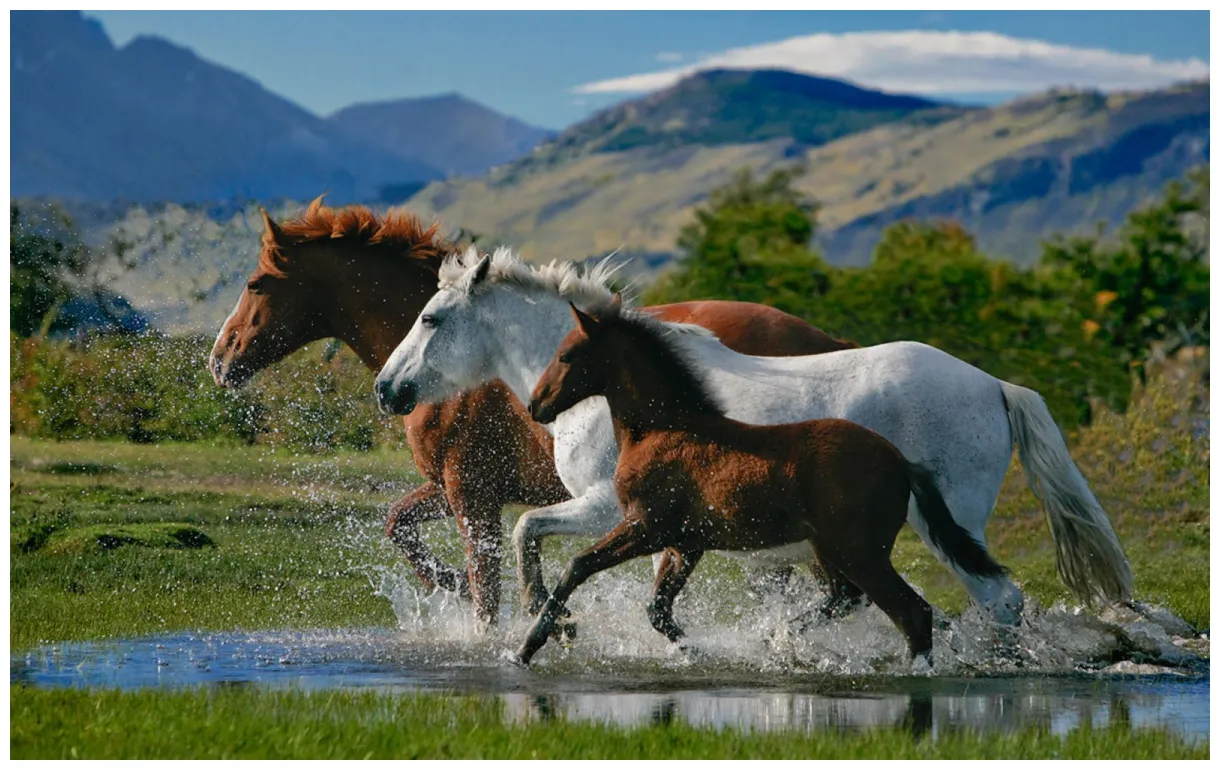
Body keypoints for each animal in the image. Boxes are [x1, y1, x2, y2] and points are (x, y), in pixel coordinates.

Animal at [208, 196, 858, 624]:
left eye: (256, 283)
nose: (219, 360)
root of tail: (828, 341)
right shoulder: (455, 489)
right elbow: (401, 526)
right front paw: (456, 586)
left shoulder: (471, 493)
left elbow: (486, 588)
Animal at [374, 247, 1132, 627]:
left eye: (432, 318)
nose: (388, 389)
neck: (619, 391)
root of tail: (994, 385)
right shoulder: (666, 526)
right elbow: (655, 592)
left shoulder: (607, 507)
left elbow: (528, 529)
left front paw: (550, 619)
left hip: (949, 527)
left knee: (996, 599)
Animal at [514, 298, 1009, 666]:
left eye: (566, 355)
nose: (536, 405)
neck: (666, 428)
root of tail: (901, 462)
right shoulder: (686, 543)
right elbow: (657, 609)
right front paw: (697, 650)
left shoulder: (645, 526)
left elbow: (576, 567)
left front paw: (528, 645)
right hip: (832, 550)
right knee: (851, 598)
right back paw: (782, 637)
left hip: (860, 551)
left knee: (914, 610)